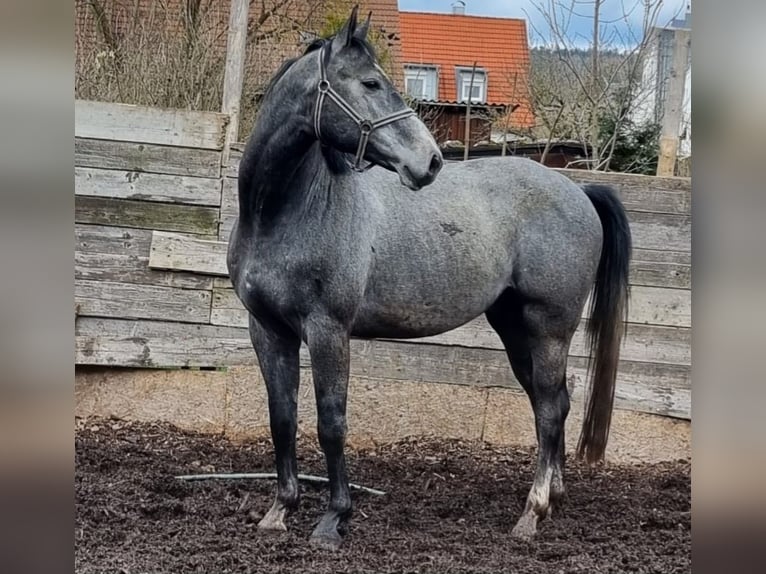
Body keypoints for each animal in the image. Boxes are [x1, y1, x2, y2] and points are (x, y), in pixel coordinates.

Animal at [226, 6, 632, 552]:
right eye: (371, 83)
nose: (431, 161)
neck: (282, 212)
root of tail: (580, 191)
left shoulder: (328, 330)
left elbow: (332, 421)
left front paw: (334, 519)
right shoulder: (268, 331)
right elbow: (282, 417)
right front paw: (279, 510)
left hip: (549, 328)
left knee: (549, 408)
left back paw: (533, 512)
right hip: (514, 327)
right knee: (556, 404)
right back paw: (555, 499)